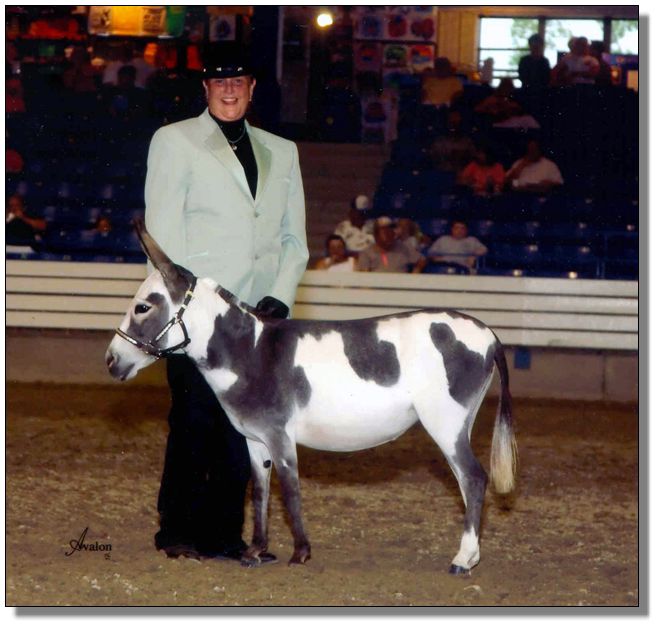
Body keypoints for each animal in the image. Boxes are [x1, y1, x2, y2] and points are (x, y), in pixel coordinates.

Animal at [105, 220, 518, 574]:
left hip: (446, 423)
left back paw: (463, 559)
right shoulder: (255, 440)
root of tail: (488, 333)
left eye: (143, 307)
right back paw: (470, 554)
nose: (111, 360)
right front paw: (256, 551)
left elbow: (290, 490)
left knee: (473, 479)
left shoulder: (279, 436)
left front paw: (300, 552)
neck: (251, 351)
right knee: (466, 481)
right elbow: (260, 492)